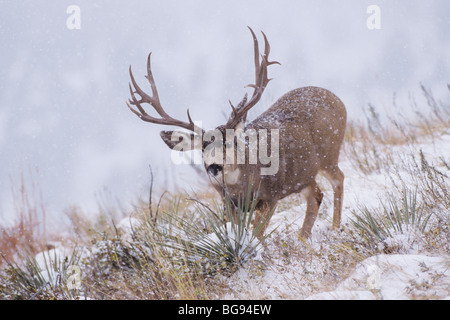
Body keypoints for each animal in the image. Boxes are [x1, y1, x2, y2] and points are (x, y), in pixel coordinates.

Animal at [126, 26, 348, 240]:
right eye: (202, 148)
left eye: (229, 142)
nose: (214, 167)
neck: (241, 186)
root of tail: (336, 98)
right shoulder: (228, 203)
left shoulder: (272, 194)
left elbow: (257, 235)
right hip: (304, 175)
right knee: (316, 195)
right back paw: (303, 238)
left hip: (329, 153)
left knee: (338, 178)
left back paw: (335, 228)